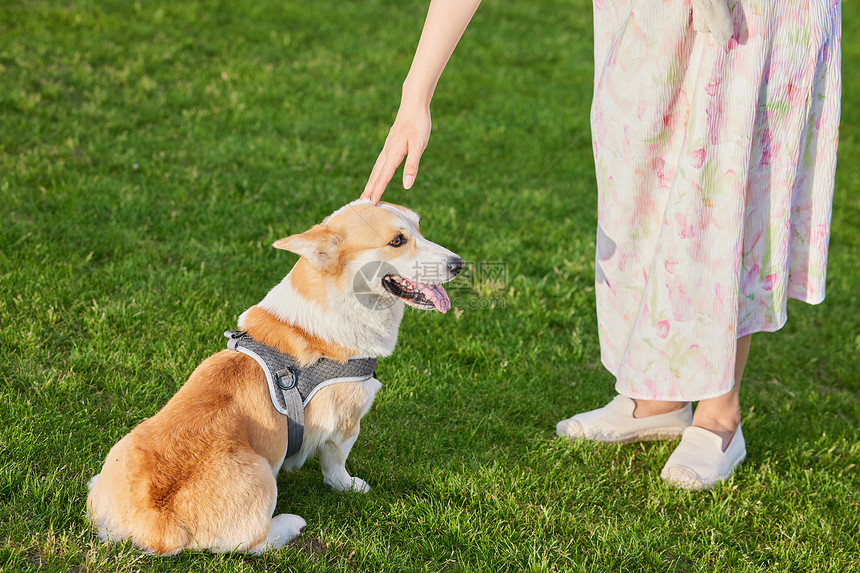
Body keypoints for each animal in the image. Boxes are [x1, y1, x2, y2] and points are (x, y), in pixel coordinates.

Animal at [87, 199, 464, 552]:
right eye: (397, 241)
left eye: (419, 229)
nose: (458, 264)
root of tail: (156, 523)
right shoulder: (345, 423)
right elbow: (336, 465)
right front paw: (350, 486)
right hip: (262, 474)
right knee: (253, 543)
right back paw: (290, 523)